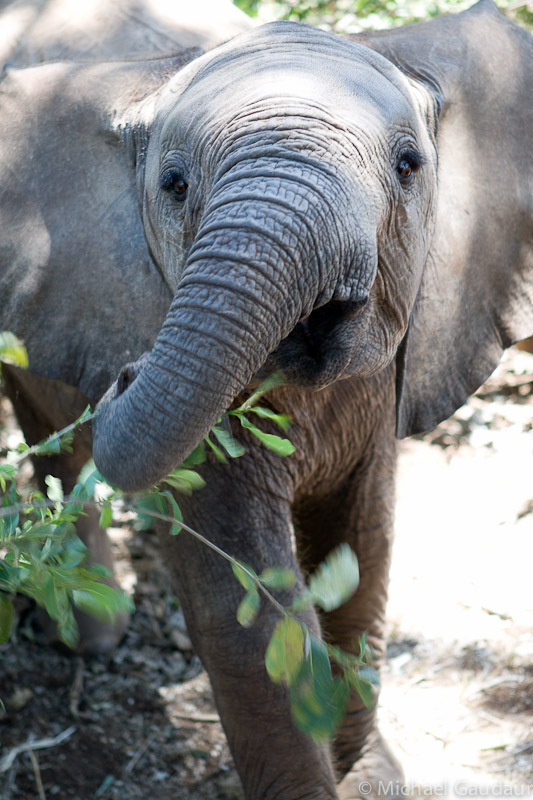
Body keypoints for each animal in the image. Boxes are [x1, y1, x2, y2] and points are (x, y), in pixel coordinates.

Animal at [0, 0, 528, 796]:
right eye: (175, 185)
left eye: (409, 167)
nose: (124, 374)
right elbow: (251, 621)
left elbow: (363, 558)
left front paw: (371, 771)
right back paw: (93, 631)